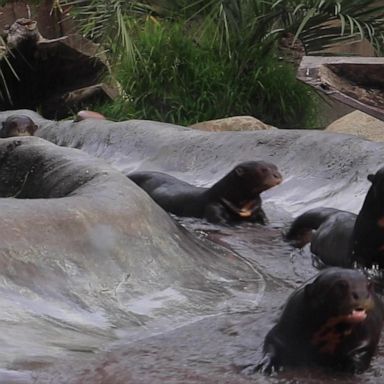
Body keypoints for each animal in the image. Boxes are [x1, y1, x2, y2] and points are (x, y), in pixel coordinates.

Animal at [128, 160, 282, 224]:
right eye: (263, 170)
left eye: (275, 167)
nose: (278, 175)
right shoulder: (213, 205)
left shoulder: (256, 208)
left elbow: (263, 217)